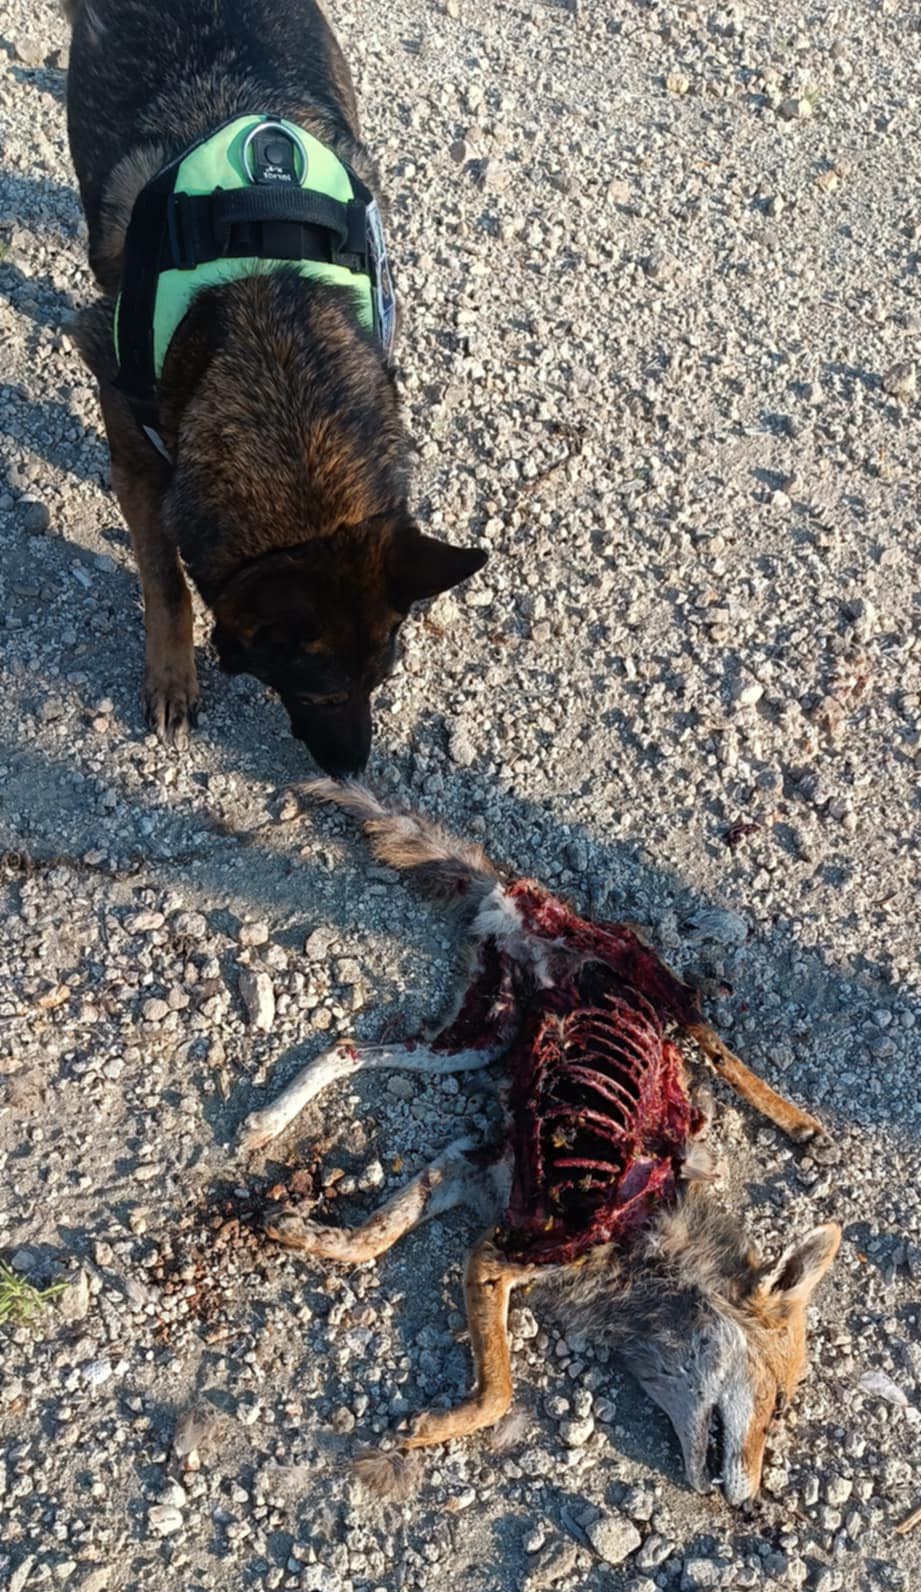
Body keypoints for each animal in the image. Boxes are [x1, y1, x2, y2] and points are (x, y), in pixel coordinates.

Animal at [65, 0, 486, 773]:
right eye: (316, 690)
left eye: (381, 680)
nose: (352, 769)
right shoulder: (121, 410)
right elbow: (164, 580)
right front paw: (172, 676)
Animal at [241, 782, 840, 1505]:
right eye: (777, 1403)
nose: (751, 1507)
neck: (648, 1238)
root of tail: (522, 892)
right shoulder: (497, 1249)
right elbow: (497, 1391)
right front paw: (431, 1426)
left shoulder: (472, 1167)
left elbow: (371, 1238)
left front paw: (306, 1231)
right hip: (647, 994)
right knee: (718, 1046)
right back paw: (799, 1122)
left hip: (478, 1038)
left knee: (347, 1047)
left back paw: (268, 1120)